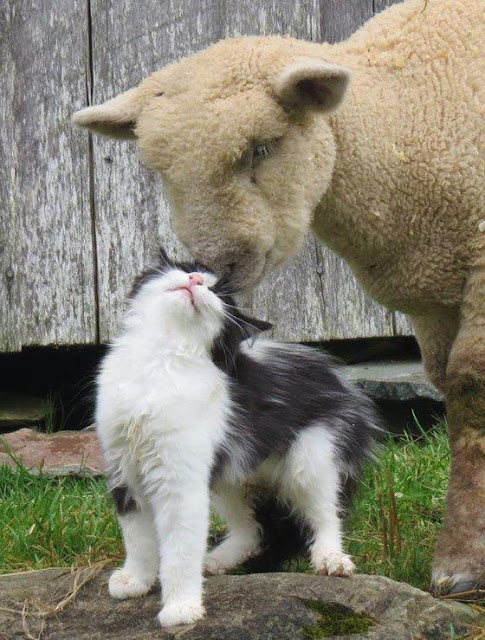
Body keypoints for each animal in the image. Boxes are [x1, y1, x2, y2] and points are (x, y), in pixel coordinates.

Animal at [94, 248, 380, 628]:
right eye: (187, 269)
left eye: (217, 293)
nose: (196, 281)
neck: (160, 356)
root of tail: (347, 385)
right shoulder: (124, 470)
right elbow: (138, 537)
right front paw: (136, 580)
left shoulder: (180, 481)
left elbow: (180, 549)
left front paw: (181, 608)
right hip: (232, 473)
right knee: (252, 530)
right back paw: (217, 560)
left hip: (312, 457)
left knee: (325, 514)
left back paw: (331, 558)